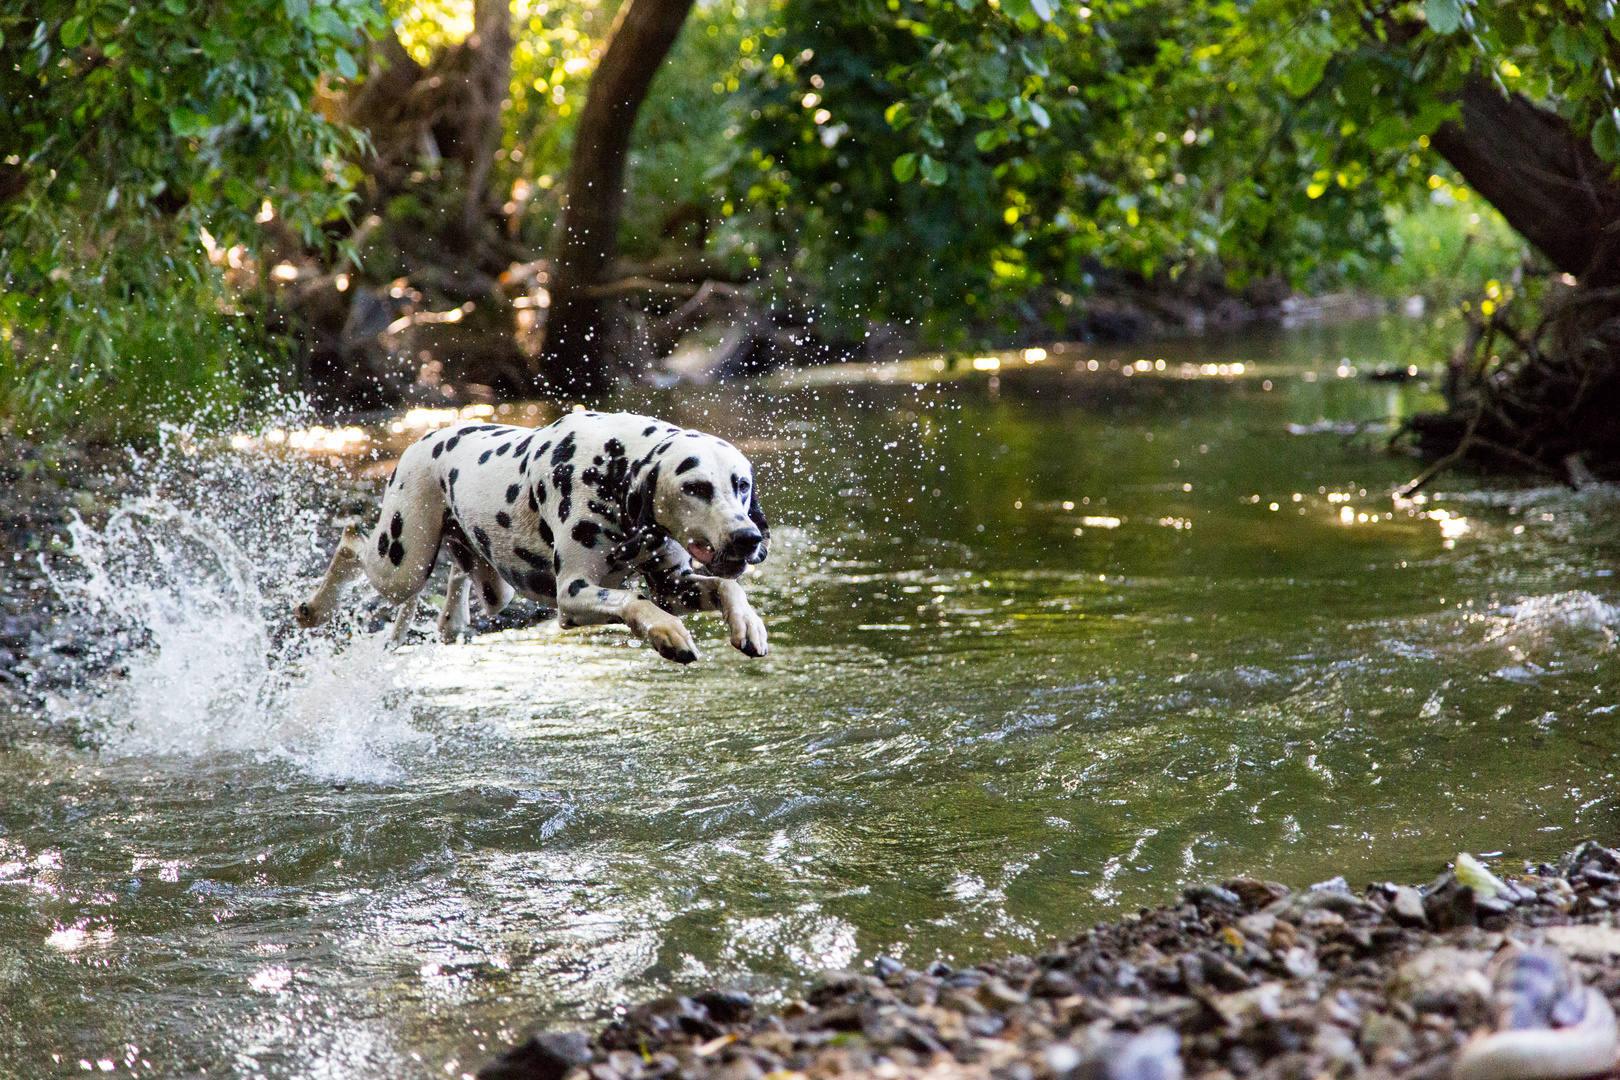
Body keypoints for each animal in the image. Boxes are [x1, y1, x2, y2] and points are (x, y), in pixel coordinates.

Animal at [298, 409, 771, 663]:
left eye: (742, 484)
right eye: (696, 487)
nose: (747, 537)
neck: (612, 466)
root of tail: (425, 438)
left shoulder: (673, 586)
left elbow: (727, 586)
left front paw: (748, 623)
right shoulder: (574, 593)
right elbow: (634, 600)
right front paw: (667, 632)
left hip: (492, 588)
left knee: (454, 588)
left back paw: (450, 615)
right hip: (401, 564)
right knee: (351, 540)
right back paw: (314, 609)